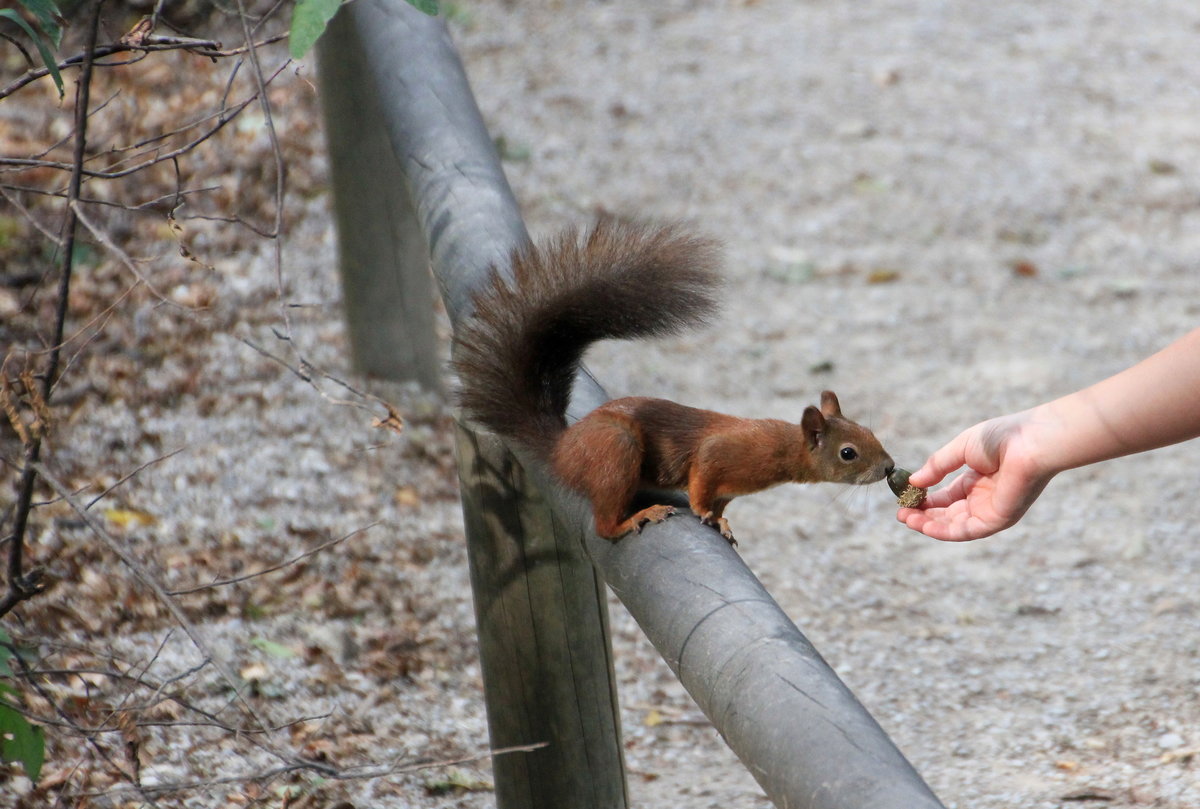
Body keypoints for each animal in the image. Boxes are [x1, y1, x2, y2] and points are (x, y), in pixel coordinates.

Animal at [453, 218, 897, 542]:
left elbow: (721, 503)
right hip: (615, 449)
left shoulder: (730, 488)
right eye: (848, 453)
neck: (780, 450)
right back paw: (637, 517)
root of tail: (563, 449)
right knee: (604, 526)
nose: (889, 467)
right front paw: (703, 513)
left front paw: (723, 522)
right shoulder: (720, 454)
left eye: (871, 432)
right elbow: (702, 481)